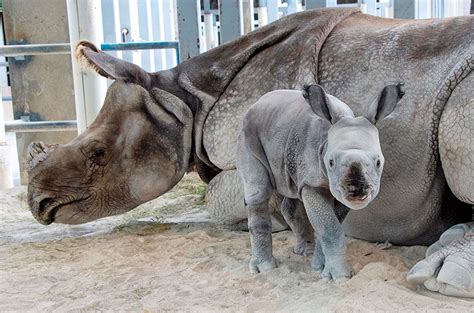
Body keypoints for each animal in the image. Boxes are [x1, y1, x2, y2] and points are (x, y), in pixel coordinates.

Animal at [237, 83, 404, 280]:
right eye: (330, 162)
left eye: (378, 162)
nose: (357, 191)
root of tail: (258, 102)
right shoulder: (312, 183)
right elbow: (330, 228)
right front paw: (339, 276)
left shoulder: (336, 190)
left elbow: (330, 225)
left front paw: (319, 266)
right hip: (248, 132)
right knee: (258, 192)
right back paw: (265, 267)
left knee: (292, 193)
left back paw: (305, 252)